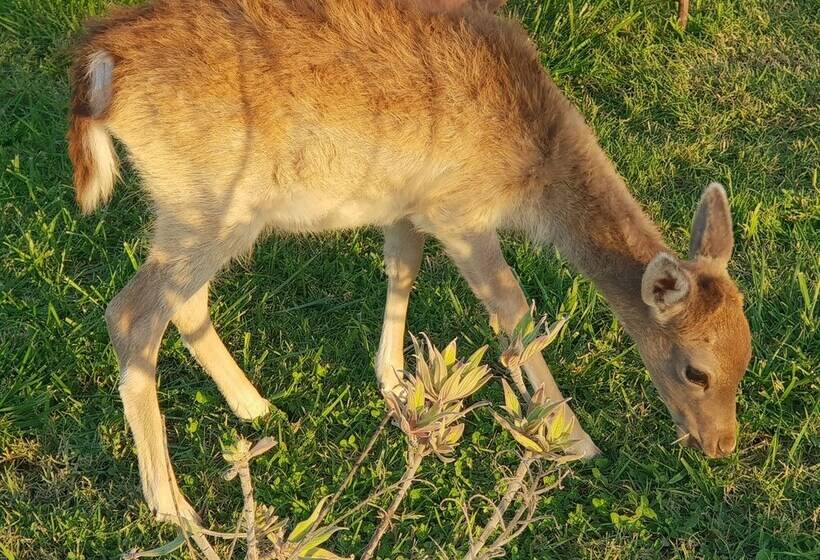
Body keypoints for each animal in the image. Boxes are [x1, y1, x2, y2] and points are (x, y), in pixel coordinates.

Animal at [67, 0, 752, 524]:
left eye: (746, 355)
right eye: (696, 371)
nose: (721, 445)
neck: (532, 163)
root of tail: (99, 67)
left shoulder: (409, 202)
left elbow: (402, 269)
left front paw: (397, 384)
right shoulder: (459, 209)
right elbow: (513, 313)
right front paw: (573, 440)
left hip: (197, 211)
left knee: (184, 303)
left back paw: (256, 408)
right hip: (212, 200)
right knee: (132, 314)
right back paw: (173, 508)